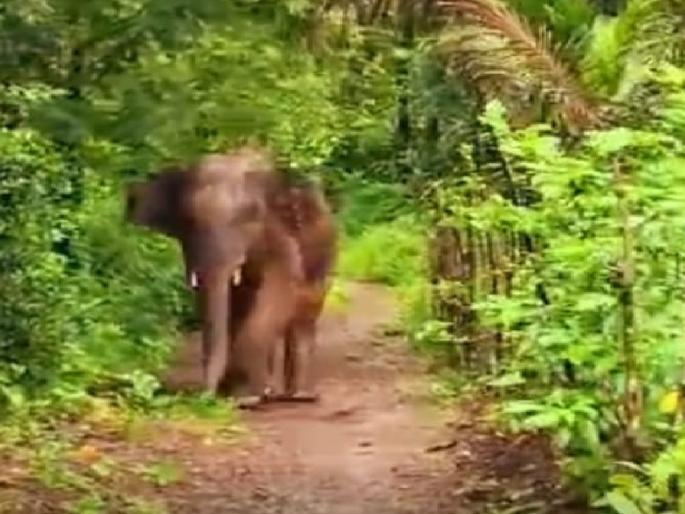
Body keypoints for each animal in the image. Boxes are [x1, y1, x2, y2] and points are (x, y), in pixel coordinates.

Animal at [125, 147, 337, 406]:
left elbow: (283, 291)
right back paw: (268, 391)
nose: (205, 399)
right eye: (187, 219)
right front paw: (241, 394)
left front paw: (247, 398)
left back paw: (299, 396)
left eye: (250, 215)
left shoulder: (281, 237)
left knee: (305, 311)